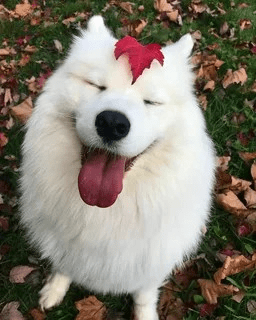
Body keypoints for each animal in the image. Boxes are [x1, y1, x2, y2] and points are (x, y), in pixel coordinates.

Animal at [20, 15, 215, 320]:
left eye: (151, 101)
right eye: (96, 85)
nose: (112, 123)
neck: (105, 211)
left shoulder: (151, 262)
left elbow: (144, 295)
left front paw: (145, 315)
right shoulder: (65, 243)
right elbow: (64, 266)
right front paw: (54, 289)